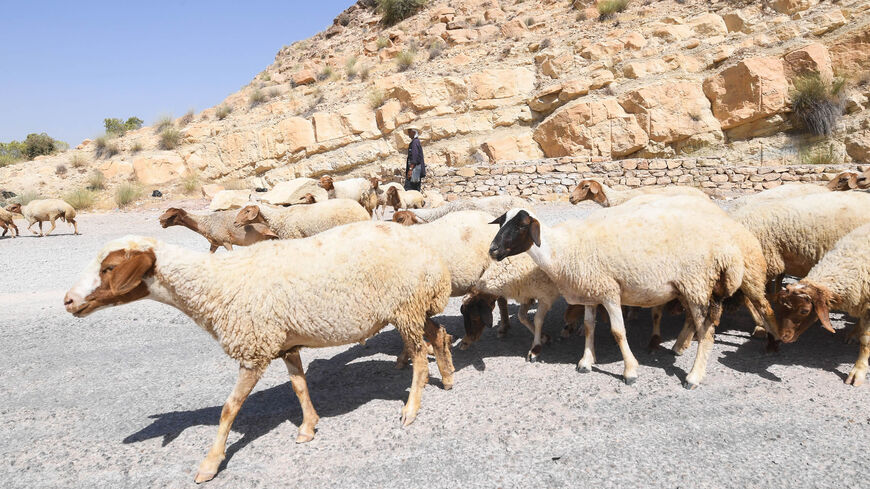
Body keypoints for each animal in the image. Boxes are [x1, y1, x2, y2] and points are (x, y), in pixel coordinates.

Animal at [63, 223, 454, 482]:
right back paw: (448, 377)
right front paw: (308, 427)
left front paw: (210, 464)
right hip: (412, 308)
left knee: (419, 355)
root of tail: (431, 254)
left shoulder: (253, 348)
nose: (67, 301)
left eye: (109, 268)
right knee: (438, 333)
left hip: (406, 305)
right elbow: (299, 386)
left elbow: (229, 408)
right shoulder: (284, 343)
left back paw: (411, 409)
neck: (216, 284)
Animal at [490, 199, 784, 388]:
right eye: (501, 222)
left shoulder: (610, 292)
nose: (492, 250)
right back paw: (680, 347)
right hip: (690, 287)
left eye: (521, 225)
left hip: (699, 283)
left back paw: (695, 376)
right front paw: (586, 361)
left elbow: (618, 332)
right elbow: (589, 327)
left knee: (713, 329)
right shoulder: (591, 291)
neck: (563, 250)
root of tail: (725, 244)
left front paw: (630, 370)